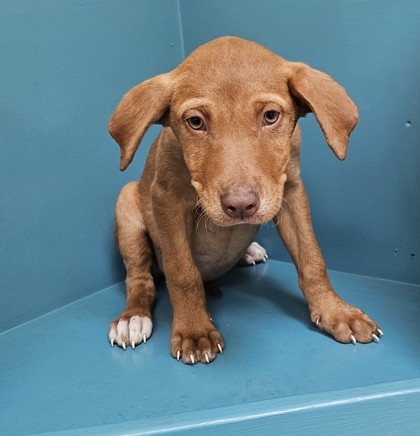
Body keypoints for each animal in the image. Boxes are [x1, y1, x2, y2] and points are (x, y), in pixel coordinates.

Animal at [107, 36, 380, 364]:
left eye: (271, 116)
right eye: (195, 122)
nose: (240, 206)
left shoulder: (291, 190)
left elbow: (312, 259)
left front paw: (335, 311)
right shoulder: (166, 198)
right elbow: (183, 272)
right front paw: (194, 329)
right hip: (126, 202)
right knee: (139, 278)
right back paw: (132, 318)